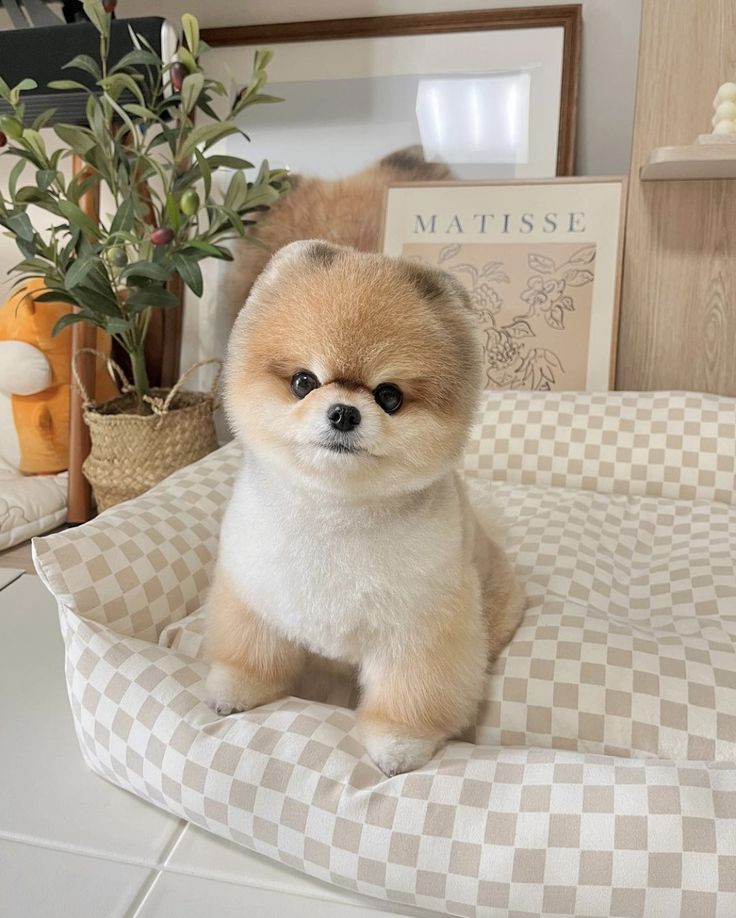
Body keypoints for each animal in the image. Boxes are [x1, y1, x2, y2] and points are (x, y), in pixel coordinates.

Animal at [204, 239, 528, 776]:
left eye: (389, 396)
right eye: (303, 382)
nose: (343, 413)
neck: (335, 513)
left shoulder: (420, 630)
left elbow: (413, 694)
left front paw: (400, 745)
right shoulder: (257, 595)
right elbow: (252, 655)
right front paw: (235, 690)